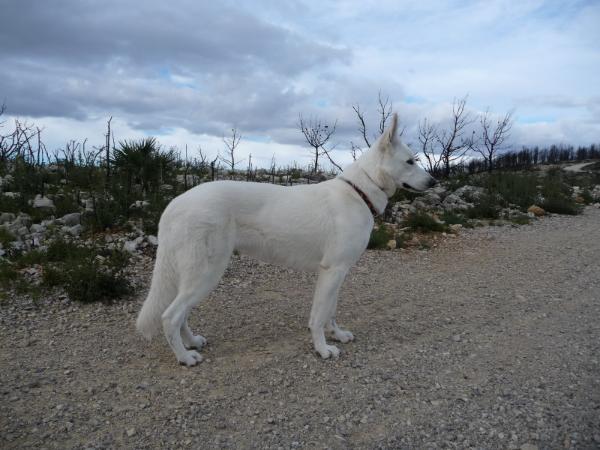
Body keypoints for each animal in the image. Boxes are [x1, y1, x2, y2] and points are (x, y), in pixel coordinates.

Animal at [136, 113, 436, 366]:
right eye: (410, 161)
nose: (433, 182)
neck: (360, 191)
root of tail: (174, 204)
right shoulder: (332, 271)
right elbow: (318, 317)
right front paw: (322, 349)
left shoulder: (338, 273)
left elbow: (330, 312)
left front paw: (336, 335)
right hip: (207, 272)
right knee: (170, 316)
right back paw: (185, 357)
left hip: (198, 275)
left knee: (181, 314)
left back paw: (191, 343)